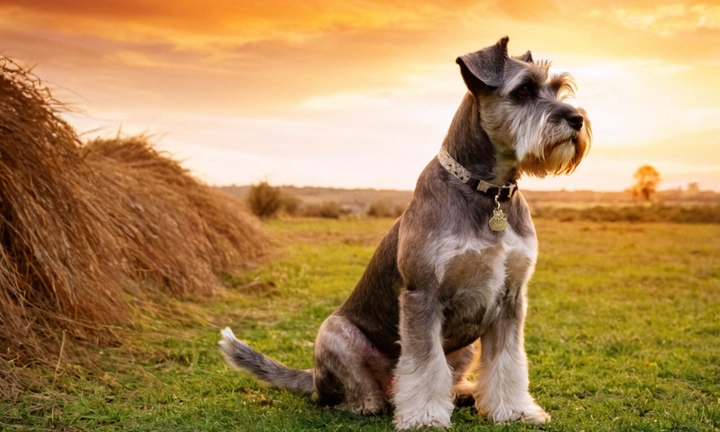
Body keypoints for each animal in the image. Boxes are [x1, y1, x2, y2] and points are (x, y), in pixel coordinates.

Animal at [218, 36, 592, 428]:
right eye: (523, 90)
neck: (488, 192)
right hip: (334, 333)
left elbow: (508, 362)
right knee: (354, 391)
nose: (576, 119)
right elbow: (426, 365)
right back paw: (372, 402)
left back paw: (464, 393)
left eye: (558, 88)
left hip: (467, 346)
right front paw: (425, 416)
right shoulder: (423, 294)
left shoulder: (511, 298)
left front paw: (516, 410)